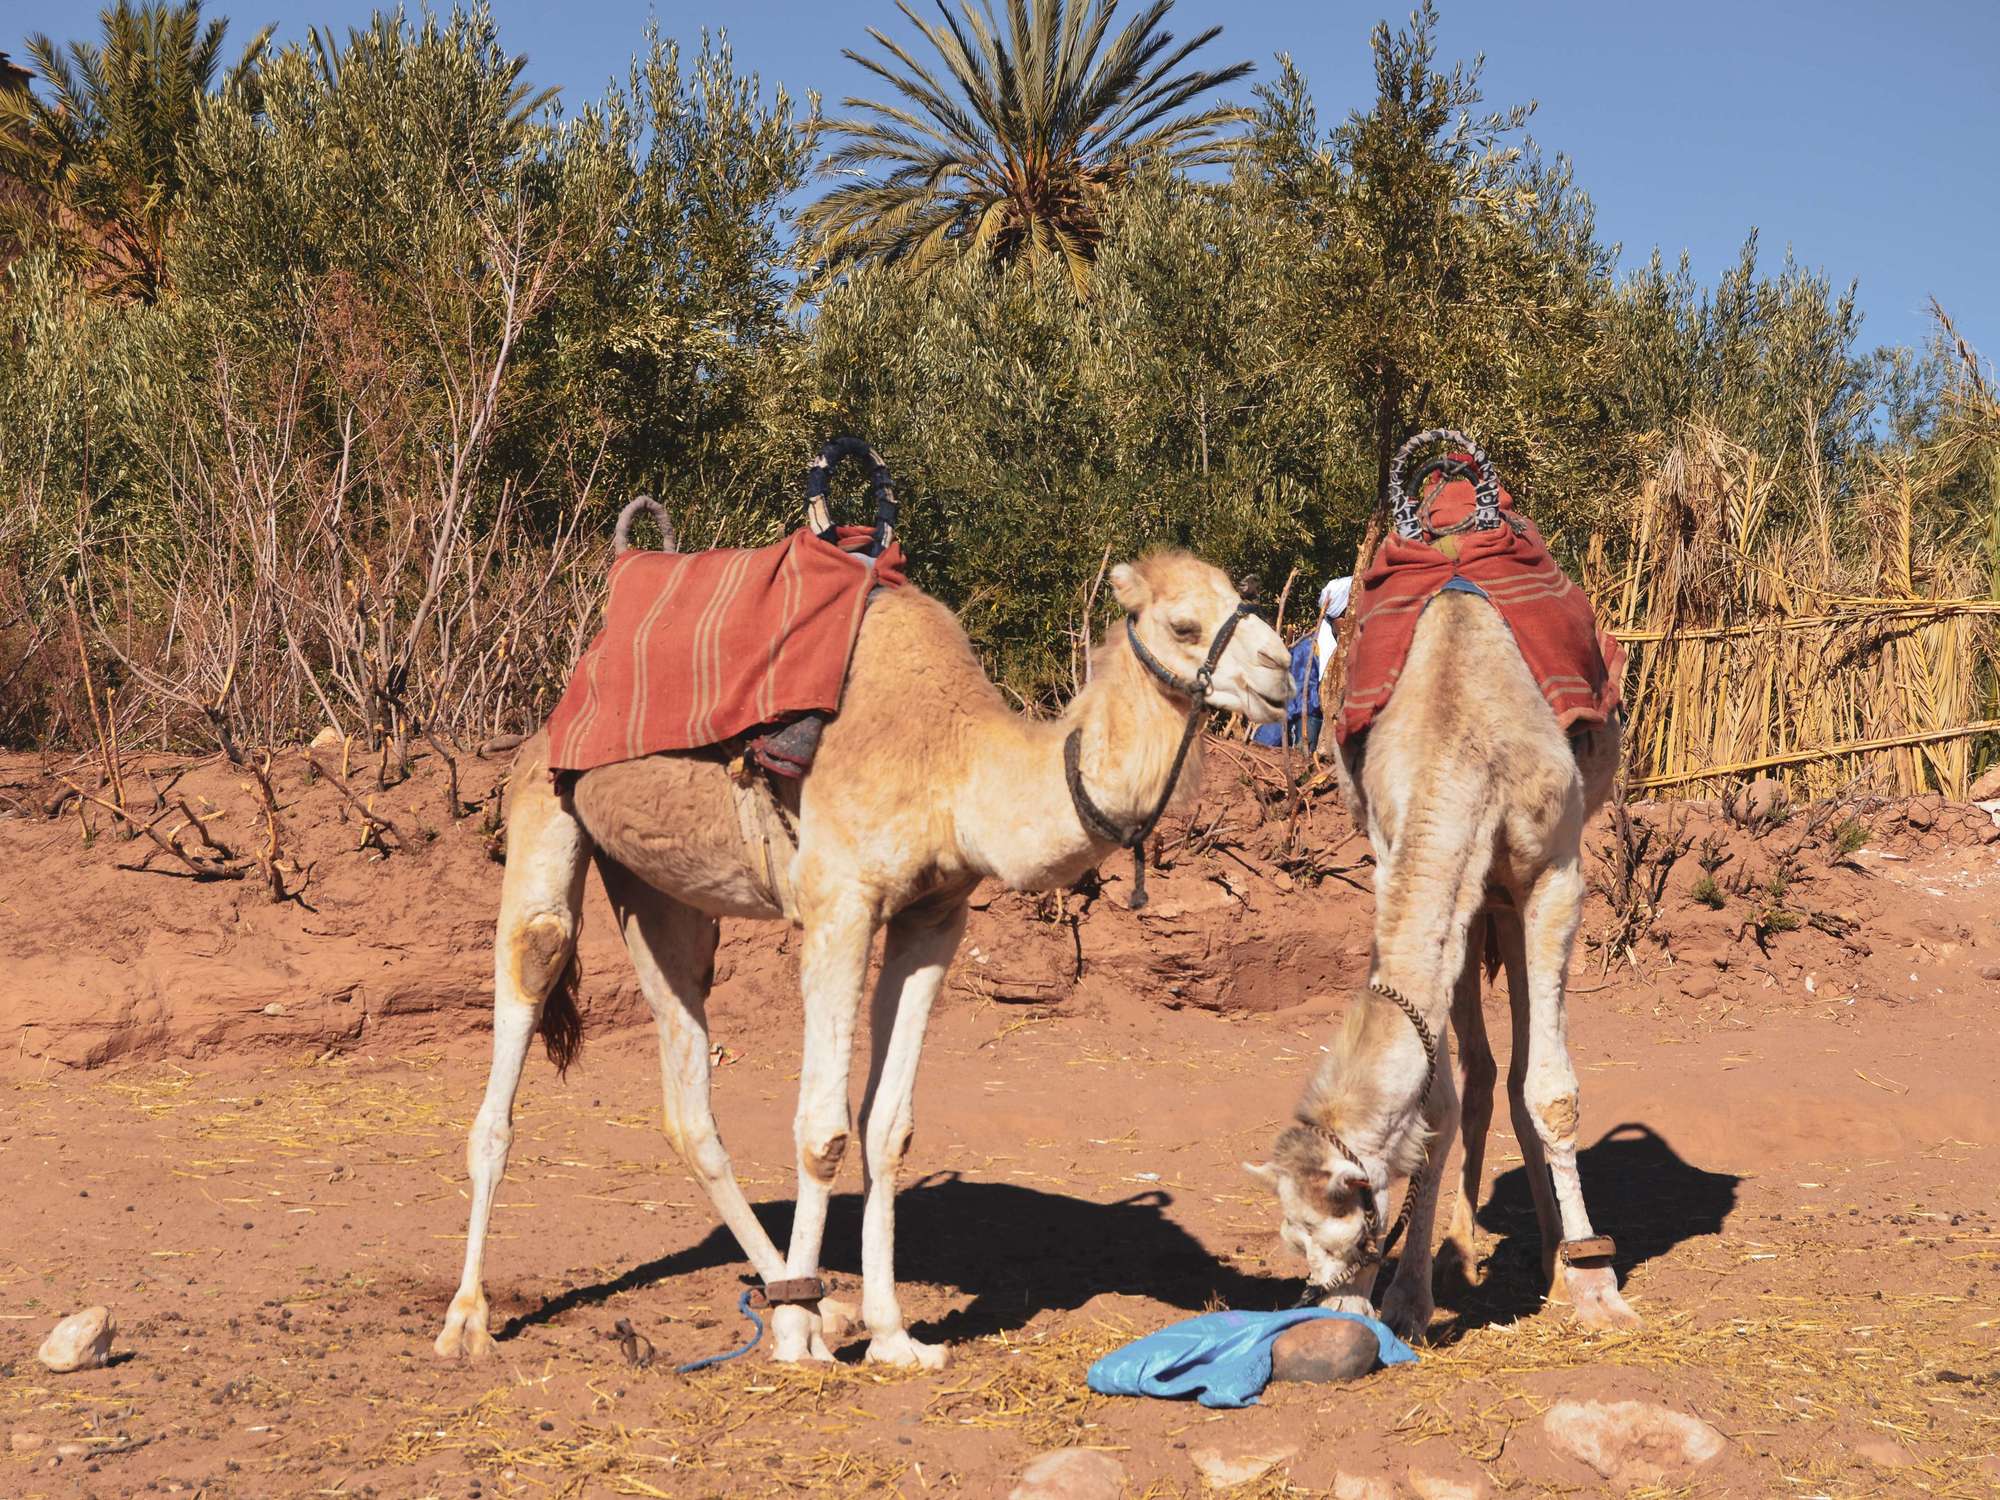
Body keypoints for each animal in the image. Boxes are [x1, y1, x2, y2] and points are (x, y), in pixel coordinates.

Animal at [430, 446, 1288, 1376]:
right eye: (1184, 625)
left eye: (1238, 595)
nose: (1282, 672)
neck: (956, 763)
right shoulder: (838, 904)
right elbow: (823, 1131)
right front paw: (799, 1340)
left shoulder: (933, 917)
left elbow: (889, 1131)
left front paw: (890, 1334)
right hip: (544, 807)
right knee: (530, 978)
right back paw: (469, 1319)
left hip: (663, 895)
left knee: (688, 1095)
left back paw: (803, 1299)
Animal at [1248, 432, 1640, 1336]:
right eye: (1290, 1239)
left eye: (1349, 1227)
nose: (1330, 1308)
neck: (1462, 729)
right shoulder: (1408, 863)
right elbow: (1439, 1104)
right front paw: (1410, 1297)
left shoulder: (1556, 874)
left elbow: (1554, 1093)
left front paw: (1596, 1289)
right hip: (1479, 900)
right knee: (1488, 1074)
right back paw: (1472, 1241)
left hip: (1523, 889)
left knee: (1528, 1068)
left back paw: (1558, 1256)